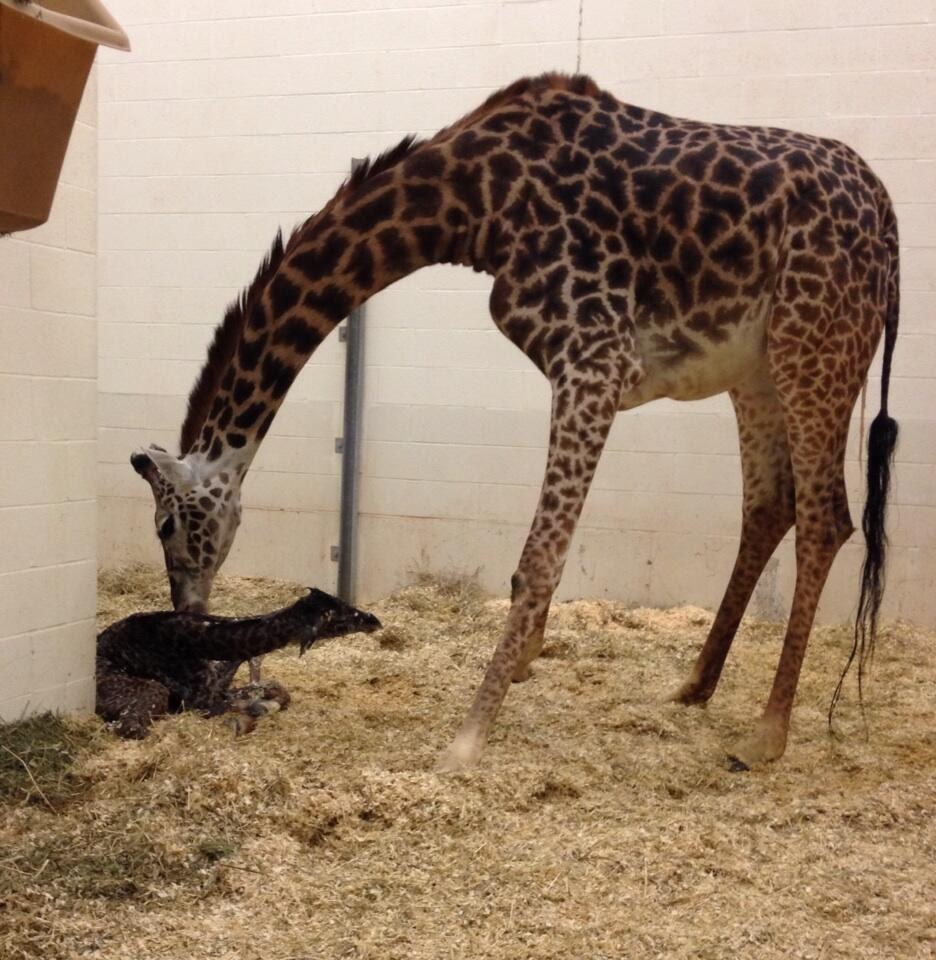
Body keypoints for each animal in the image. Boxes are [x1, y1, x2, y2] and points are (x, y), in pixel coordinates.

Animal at [96, 588, 380, 740]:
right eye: (344, 613)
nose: (374, 620)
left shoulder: (219, 686)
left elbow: (275, 690)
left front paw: (261, 706)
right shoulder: (202, 701)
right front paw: (249, 715)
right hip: (147, 692)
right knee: (129, 727)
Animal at [132, 71, 900, 768]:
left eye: (166, 525)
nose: (184, 616)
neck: (475, 209)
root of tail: (889, 220)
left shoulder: (595, 357)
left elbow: (537, 561)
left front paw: (467, 740)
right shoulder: (590, 364)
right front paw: (525, 663)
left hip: (816, 342)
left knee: (827, 518)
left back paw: (767, 734)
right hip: (758, 367)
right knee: (770, 506)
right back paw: (695, 685)